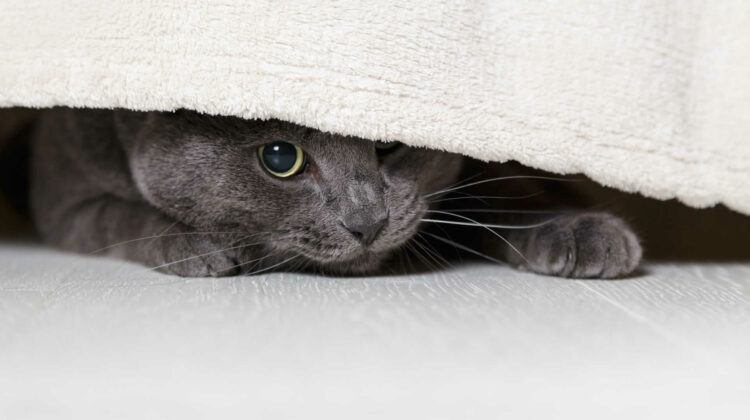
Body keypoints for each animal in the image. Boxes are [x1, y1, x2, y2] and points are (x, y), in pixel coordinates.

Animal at [27, 108, 640, 278]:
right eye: (280, 158)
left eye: (391, 140)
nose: (367, 222)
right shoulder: (66, 195)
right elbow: (115, 215)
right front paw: (196, 245)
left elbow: (506, 194)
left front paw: (582, 231)